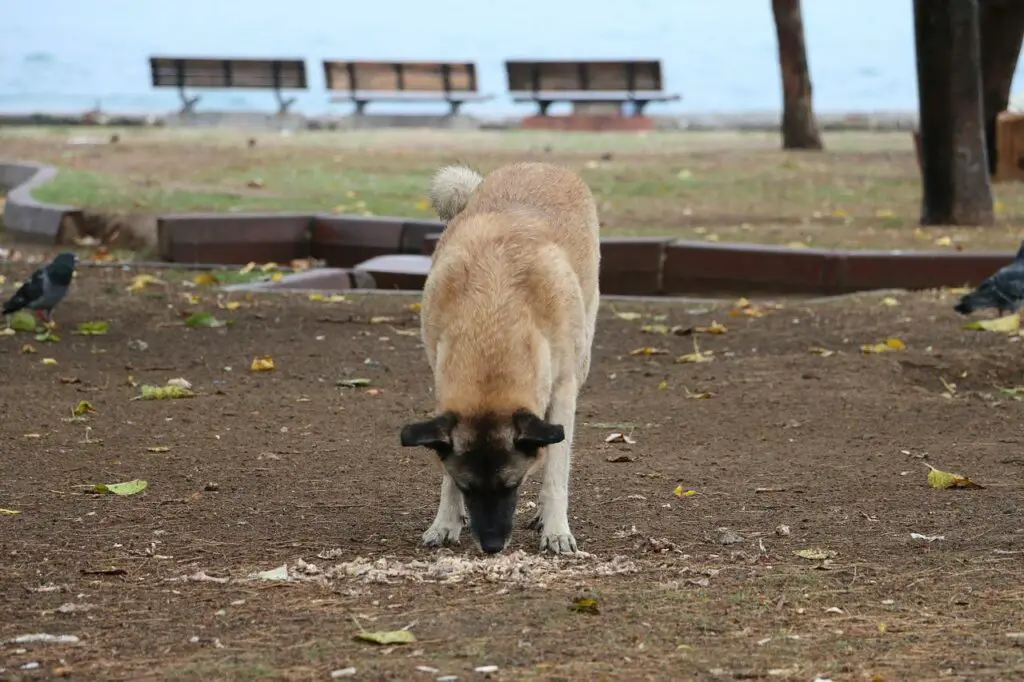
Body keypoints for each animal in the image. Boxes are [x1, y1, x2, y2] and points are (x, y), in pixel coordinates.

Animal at [395, 161, 598, 557]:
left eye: (512, 485)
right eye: (467, 487)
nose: (491, 546)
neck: (492, 322)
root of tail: (540, 164)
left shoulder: (563, 391)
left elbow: (556, 471)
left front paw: (556, 529)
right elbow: (445, 468)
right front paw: (446, 521)